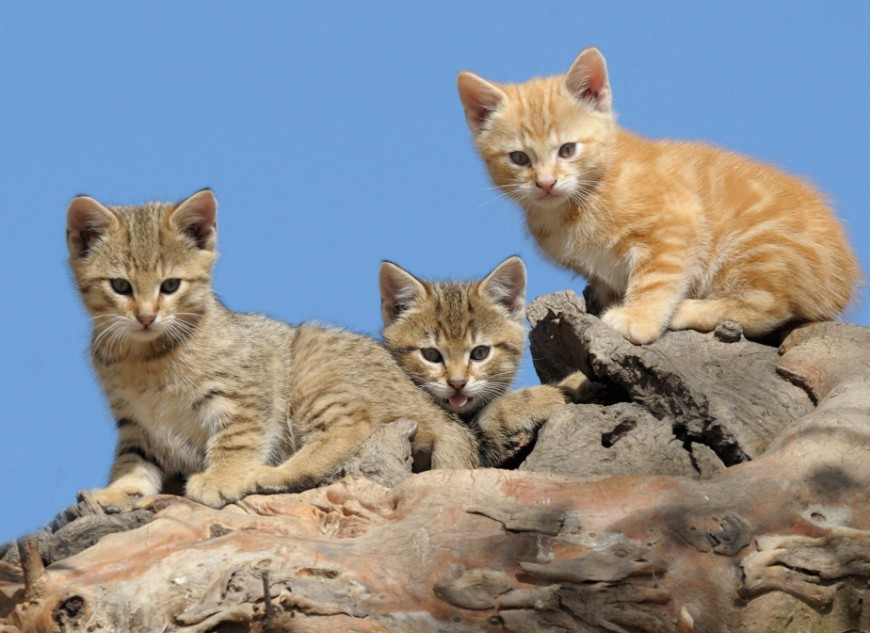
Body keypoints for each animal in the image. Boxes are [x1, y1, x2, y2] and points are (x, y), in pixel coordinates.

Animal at [66, 189, 476, 508]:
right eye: (120, 286)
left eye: (170, 286)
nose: (146, 317)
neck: (145, 356)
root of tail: (441, 414)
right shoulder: (136, 423)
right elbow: (132, 462)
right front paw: (118, 491)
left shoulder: (245, 392)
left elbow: (235, 440)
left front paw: (220, 478)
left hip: (314, 361)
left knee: (349, 426)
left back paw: (273, 473)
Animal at [460, 48, 860, 346]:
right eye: (519, 158)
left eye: (568, 150)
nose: (545, 183)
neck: (578, 202)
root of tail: (844, 278)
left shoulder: (677, 223)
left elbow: (656, 279)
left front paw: (638, 318)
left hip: (756, 247)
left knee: (770, 306)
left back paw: (688, 310)